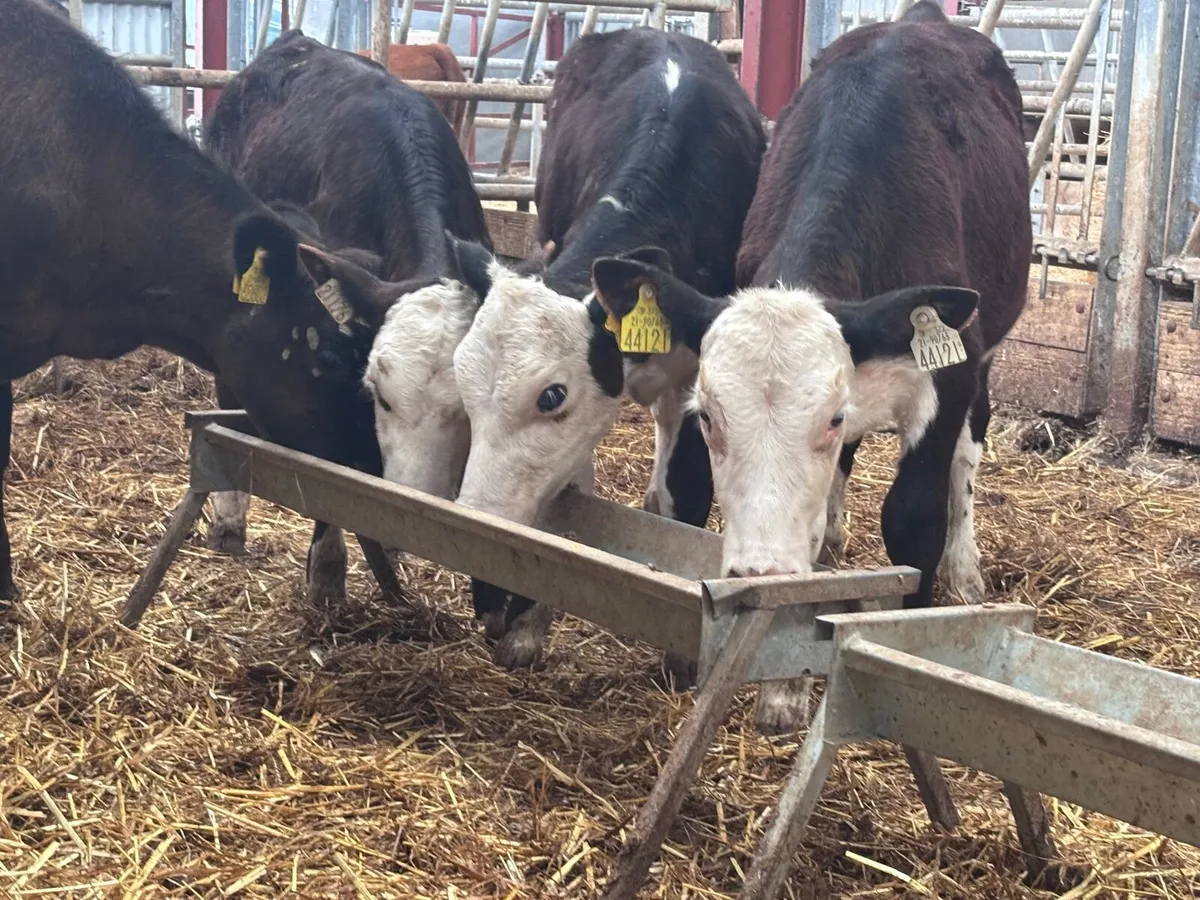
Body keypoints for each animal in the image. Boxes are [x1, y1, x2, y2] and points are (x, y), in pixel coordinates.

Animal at [435, 27, 765, 671]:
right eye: (462, 383)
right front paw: (527, 624)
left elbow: (685, 491)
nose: (487, 595)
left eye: (551, 395)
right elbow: (569, 496)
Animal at [590, 1, 1031, 733]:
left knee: (968, 458)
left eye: (829, 417)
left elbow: (914, 521)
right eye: (707, 418)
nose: (760, 572)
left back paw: (965, 571)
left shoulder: (948, 376)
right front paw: (782, 689)